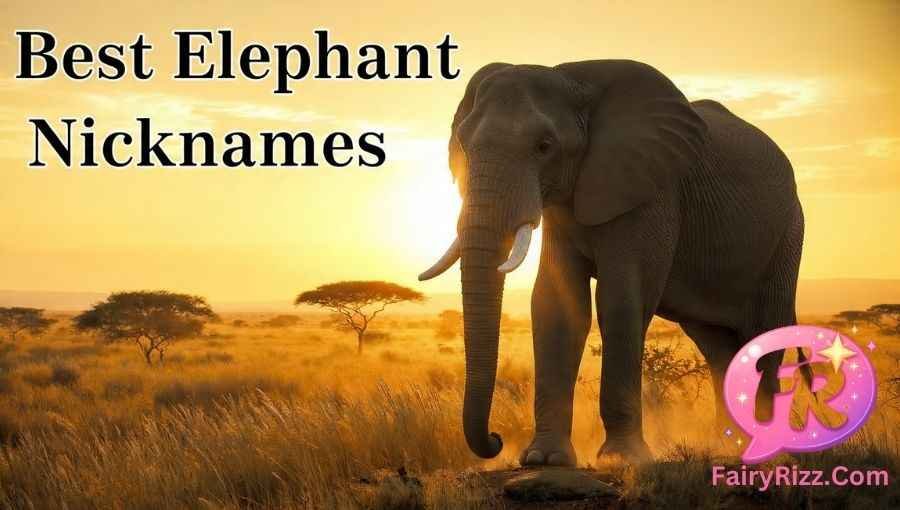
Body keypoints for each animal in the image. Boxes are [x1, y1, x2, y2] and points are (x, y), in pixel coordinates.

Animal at [418, 60, 803, 467]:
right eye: (463, 144)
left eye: (544, 146)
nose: (495, 440)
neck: (575, 81)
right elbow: (555, 305)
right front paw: (543, 458)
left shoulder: (652, 191)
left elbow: (620, 298)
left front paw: (622, 458)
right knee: (718, 348)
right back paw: (726, 447)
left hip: (788, 232)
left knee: (764, 335)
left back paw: (763, 452)